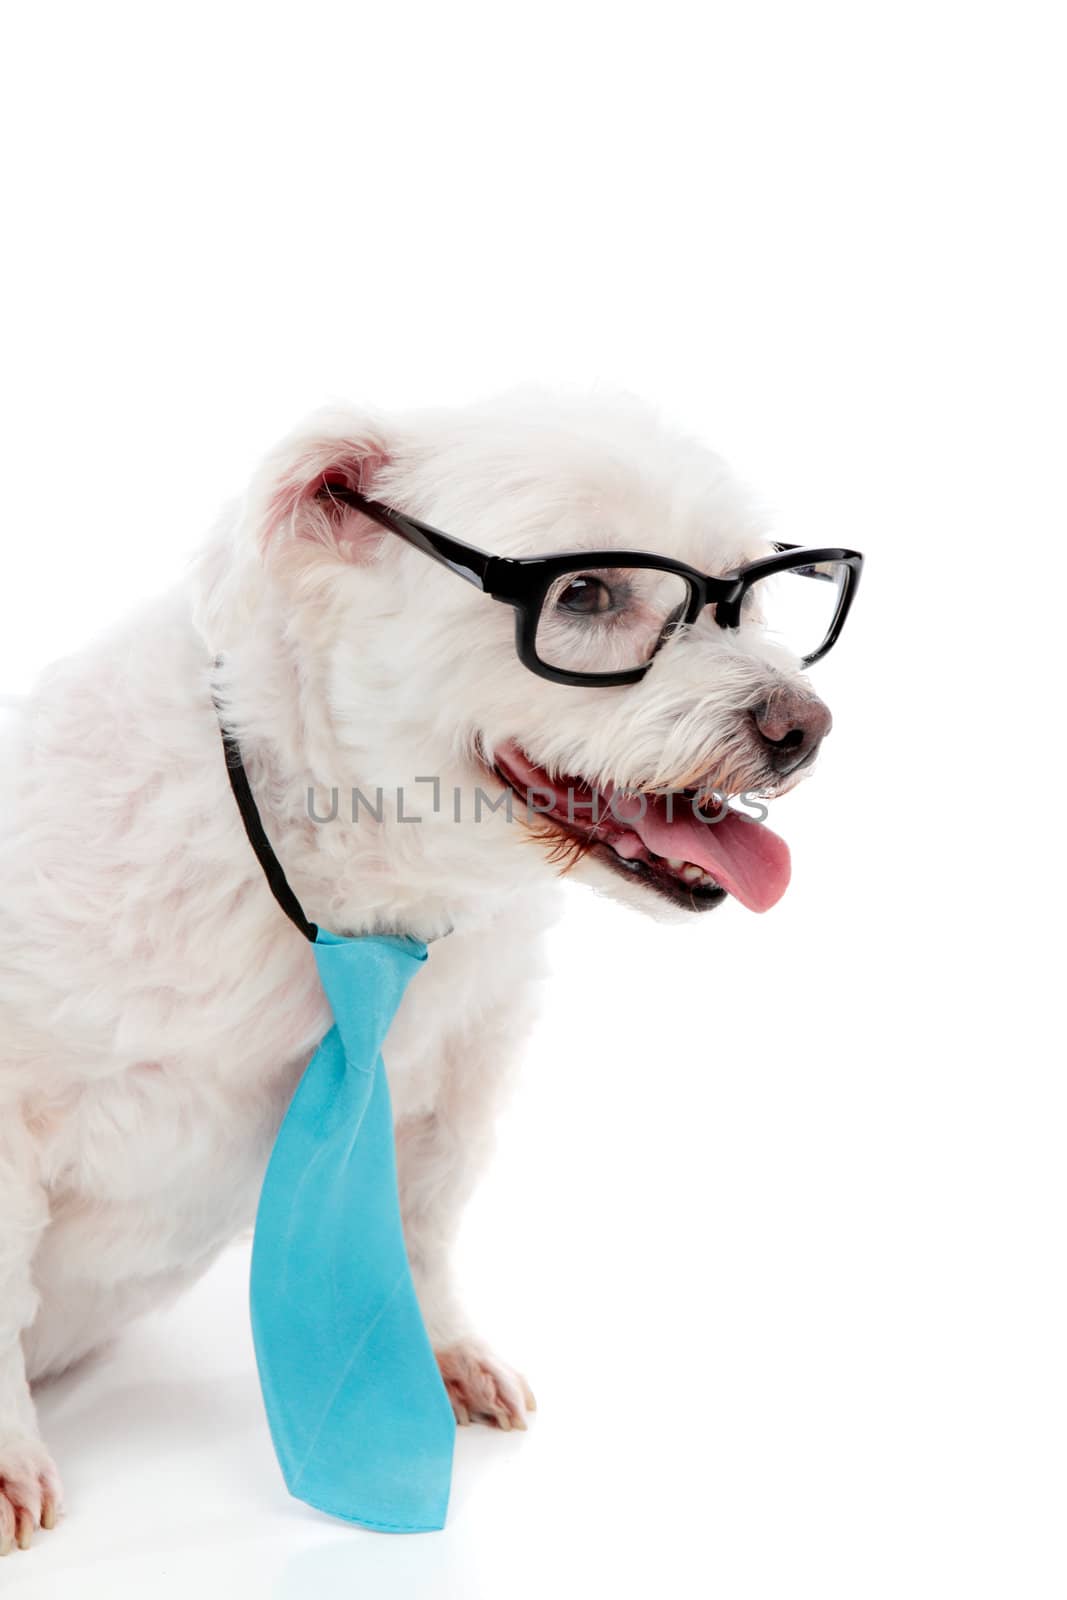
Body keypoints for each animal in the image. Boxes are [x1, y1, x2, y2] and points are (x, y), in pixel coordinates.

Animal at [0, 387, 851, 1548]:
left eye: (746, 595)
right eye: (586, 591)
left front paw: (439, 1348)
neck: (339, 877)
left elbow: (420, 1224)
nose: (801, 726)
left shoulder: (454, 1073)